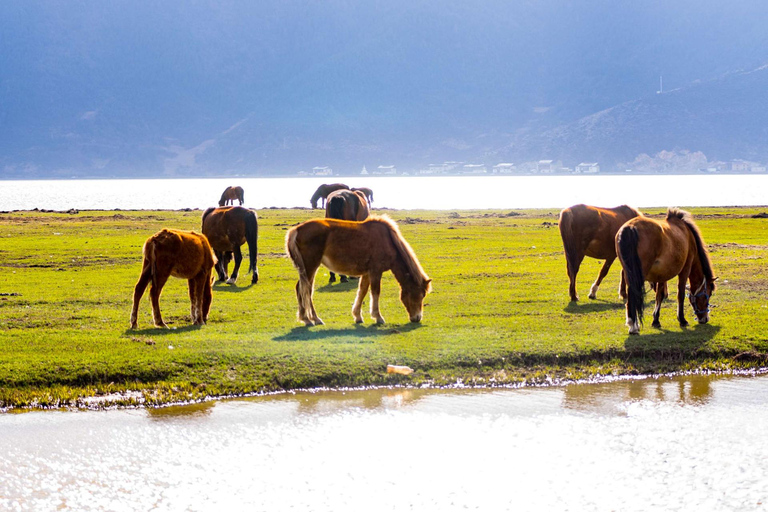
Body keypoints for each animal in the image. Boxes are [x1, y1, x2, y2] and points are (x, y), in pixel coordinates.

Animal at [286, 215, 432, 326]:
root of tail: (297, 229)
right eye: (419, 295)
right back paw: (313, 319)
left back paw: (306, 318)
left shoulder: (367, 273)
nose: (417, 318)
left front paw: (357, 316)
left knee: (302, 289)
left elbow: (362, 292)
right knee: (305, 290)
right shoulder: (375, 272)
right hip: (310, 266)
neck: (388, 241)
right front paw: (378, 317)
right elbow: (375, 292)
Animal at [616, 208, 716, 336]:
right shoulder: (685, 269)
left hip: (629, 273)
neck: (688, 235)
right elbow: (680, 295)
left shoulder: (662, 275)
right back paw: (633, 326)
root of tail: (630, 227)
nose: (704, 319)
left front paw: (656, 320)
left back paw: (633, 324)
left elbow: (659, 295)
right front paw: (682, 319)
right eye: (708, 294)